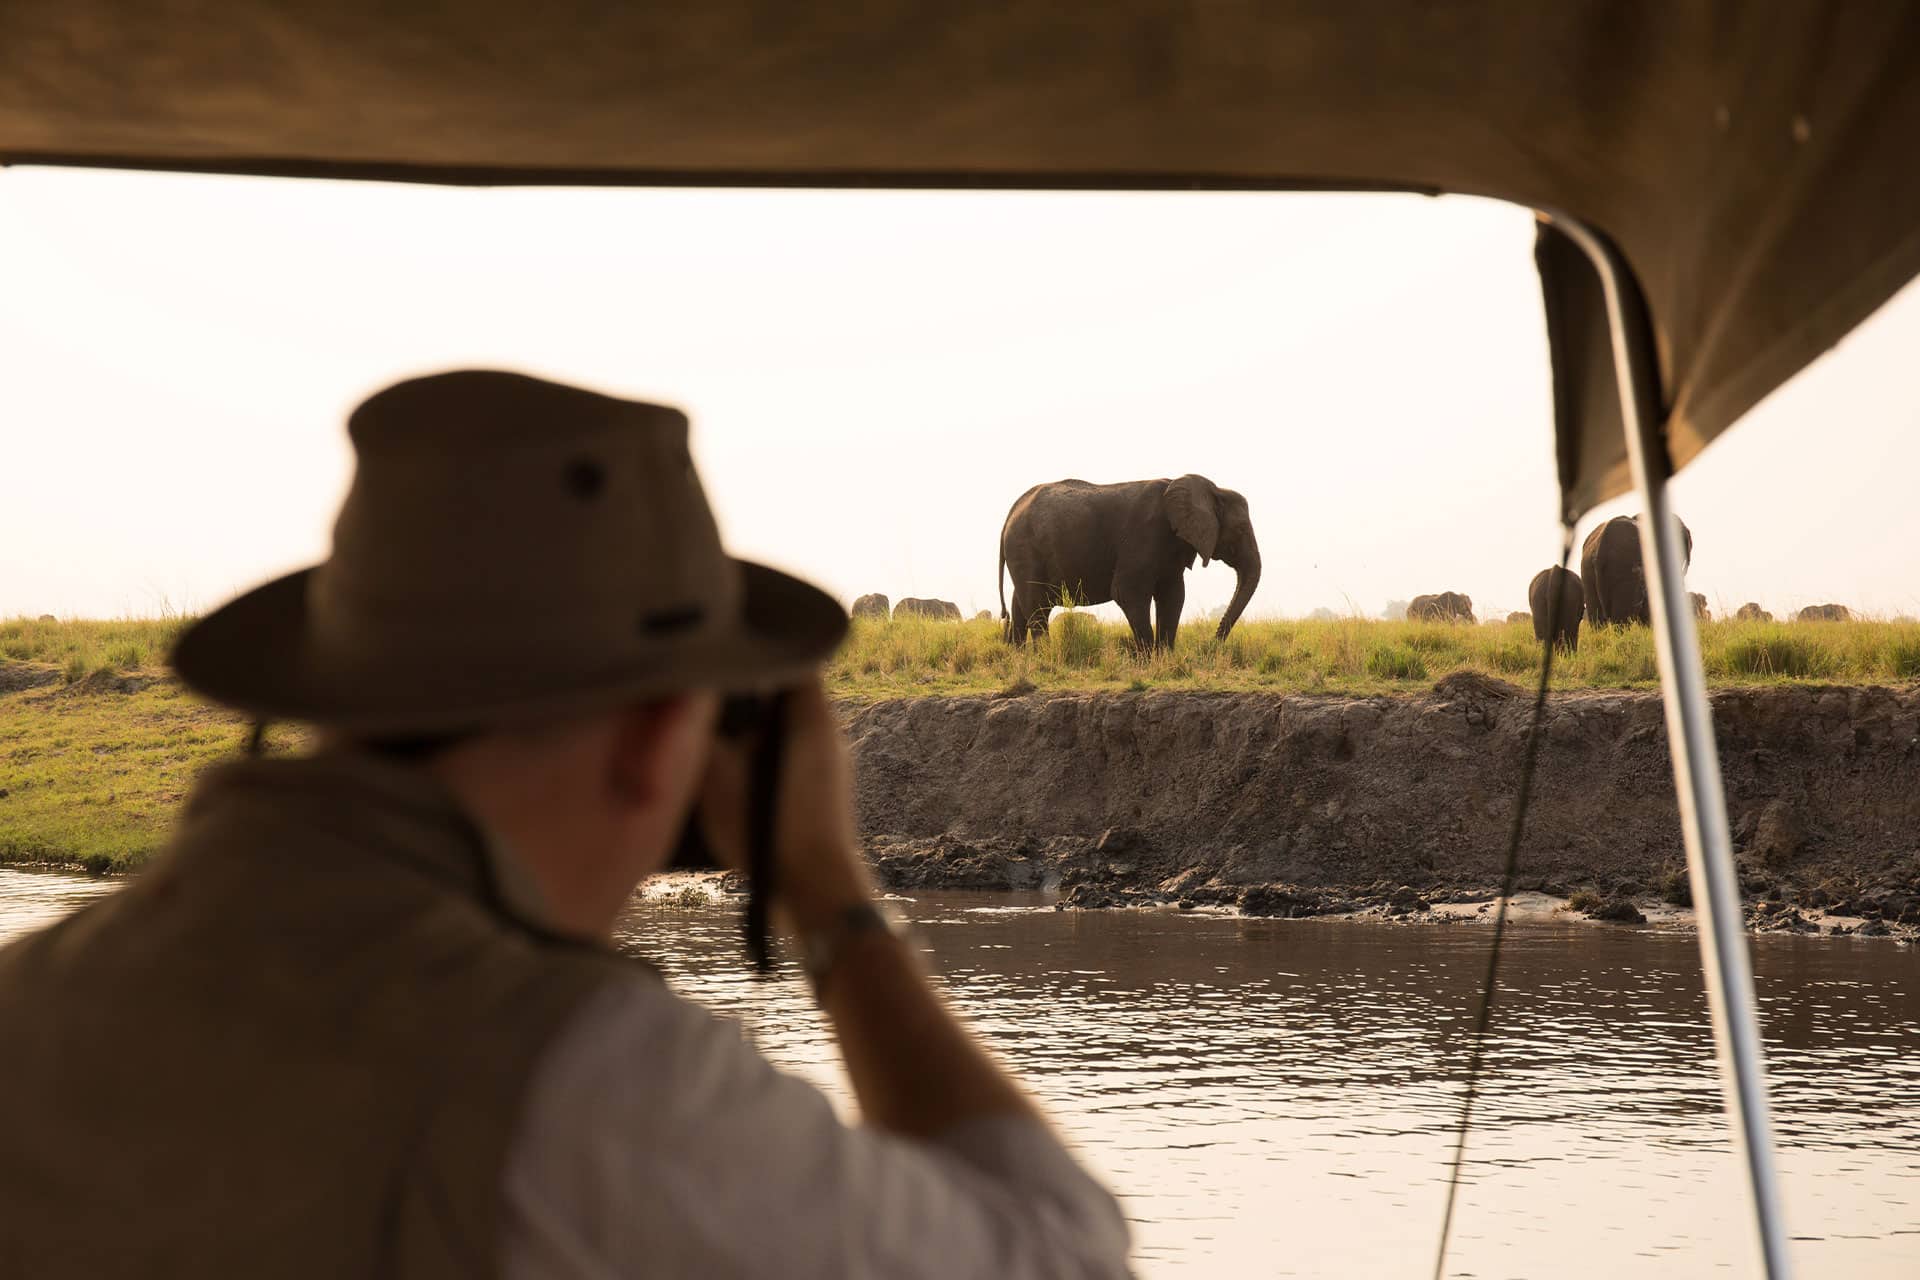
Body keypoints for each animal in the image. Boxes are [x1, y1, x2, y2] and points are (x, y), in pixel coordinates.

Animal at [999, 474, 1260, 650]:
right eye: (1239, 529)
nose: (1210, 646)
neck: (1212, 490)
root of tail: (1010, 513)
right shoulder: (1143, 535)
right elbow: (1127, 592)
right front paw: (1148, 660)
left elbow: (1173, 595)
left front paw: (1164, 658)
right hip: (1025, 549)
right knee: (1037, 604)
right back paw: (1045, 656)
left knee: (1020, 603)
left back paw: (1020, 658)